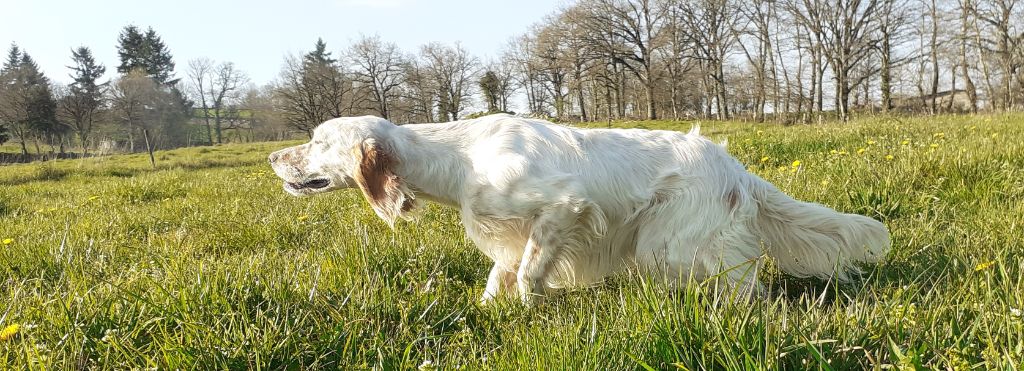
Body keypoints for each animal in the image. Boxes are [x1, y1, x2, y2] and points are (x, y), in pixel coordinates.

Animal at [270, 114, 888, 303]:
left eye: (317, 140)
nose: (275, 157)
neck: (460, 157)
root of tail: (734, 166)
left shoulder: (563, 210)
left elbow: (528, 274)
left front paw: (527, 310)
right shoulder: (510, 233)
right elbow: (501, 274)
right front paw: (492, 311)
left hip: (672, 243)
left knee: (740, 284)